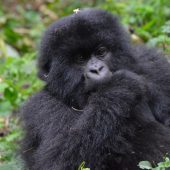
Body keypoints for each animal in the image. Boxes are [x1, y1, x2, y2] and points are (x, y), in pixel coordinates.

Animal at [21, 8, 170, 170]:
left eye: (101, 51)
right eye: (80, 59)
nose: (97, 69)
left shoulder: (154, 66)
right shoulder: (40, 107)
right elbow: (54, 162)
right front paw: (117, 90)